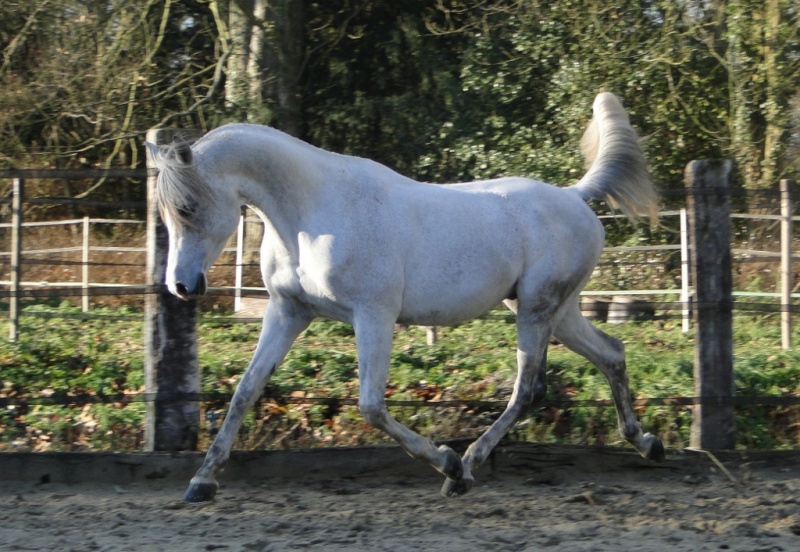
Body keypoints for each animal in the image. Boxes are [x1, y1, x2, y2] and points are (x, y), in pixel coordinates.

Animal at [148, 92, 664, 502]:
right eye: (166, 213)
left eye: (187, 207)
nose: (182, 286)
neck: (311, 211)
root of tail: (575, 196)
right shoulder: (288, 312)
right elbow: (245, 392)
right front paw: (201, 482)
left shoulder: (374, 315)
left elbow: (371, 406)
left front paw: (446, 460)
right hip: (553, 309)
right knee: (611, 354)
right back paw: (647, 443)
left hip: (538, 310)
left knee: (528, 389)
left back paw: (464, 469)